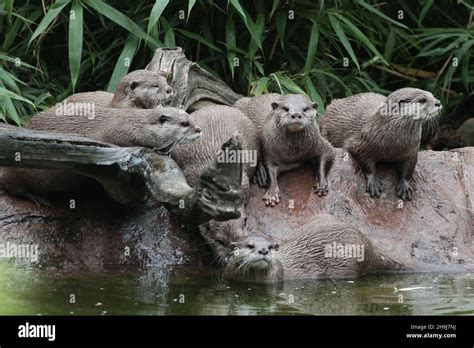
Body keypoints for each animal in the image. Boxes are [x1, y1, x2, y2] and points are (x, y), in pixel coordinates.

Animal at [0, 104, 200, 205]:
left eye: (191, 117)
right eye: (184, 123)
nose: (199, 129)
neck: (136, 124)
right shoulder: (114, 133)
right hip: (17, 172)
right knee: (12, 188)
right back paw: (37, 198)